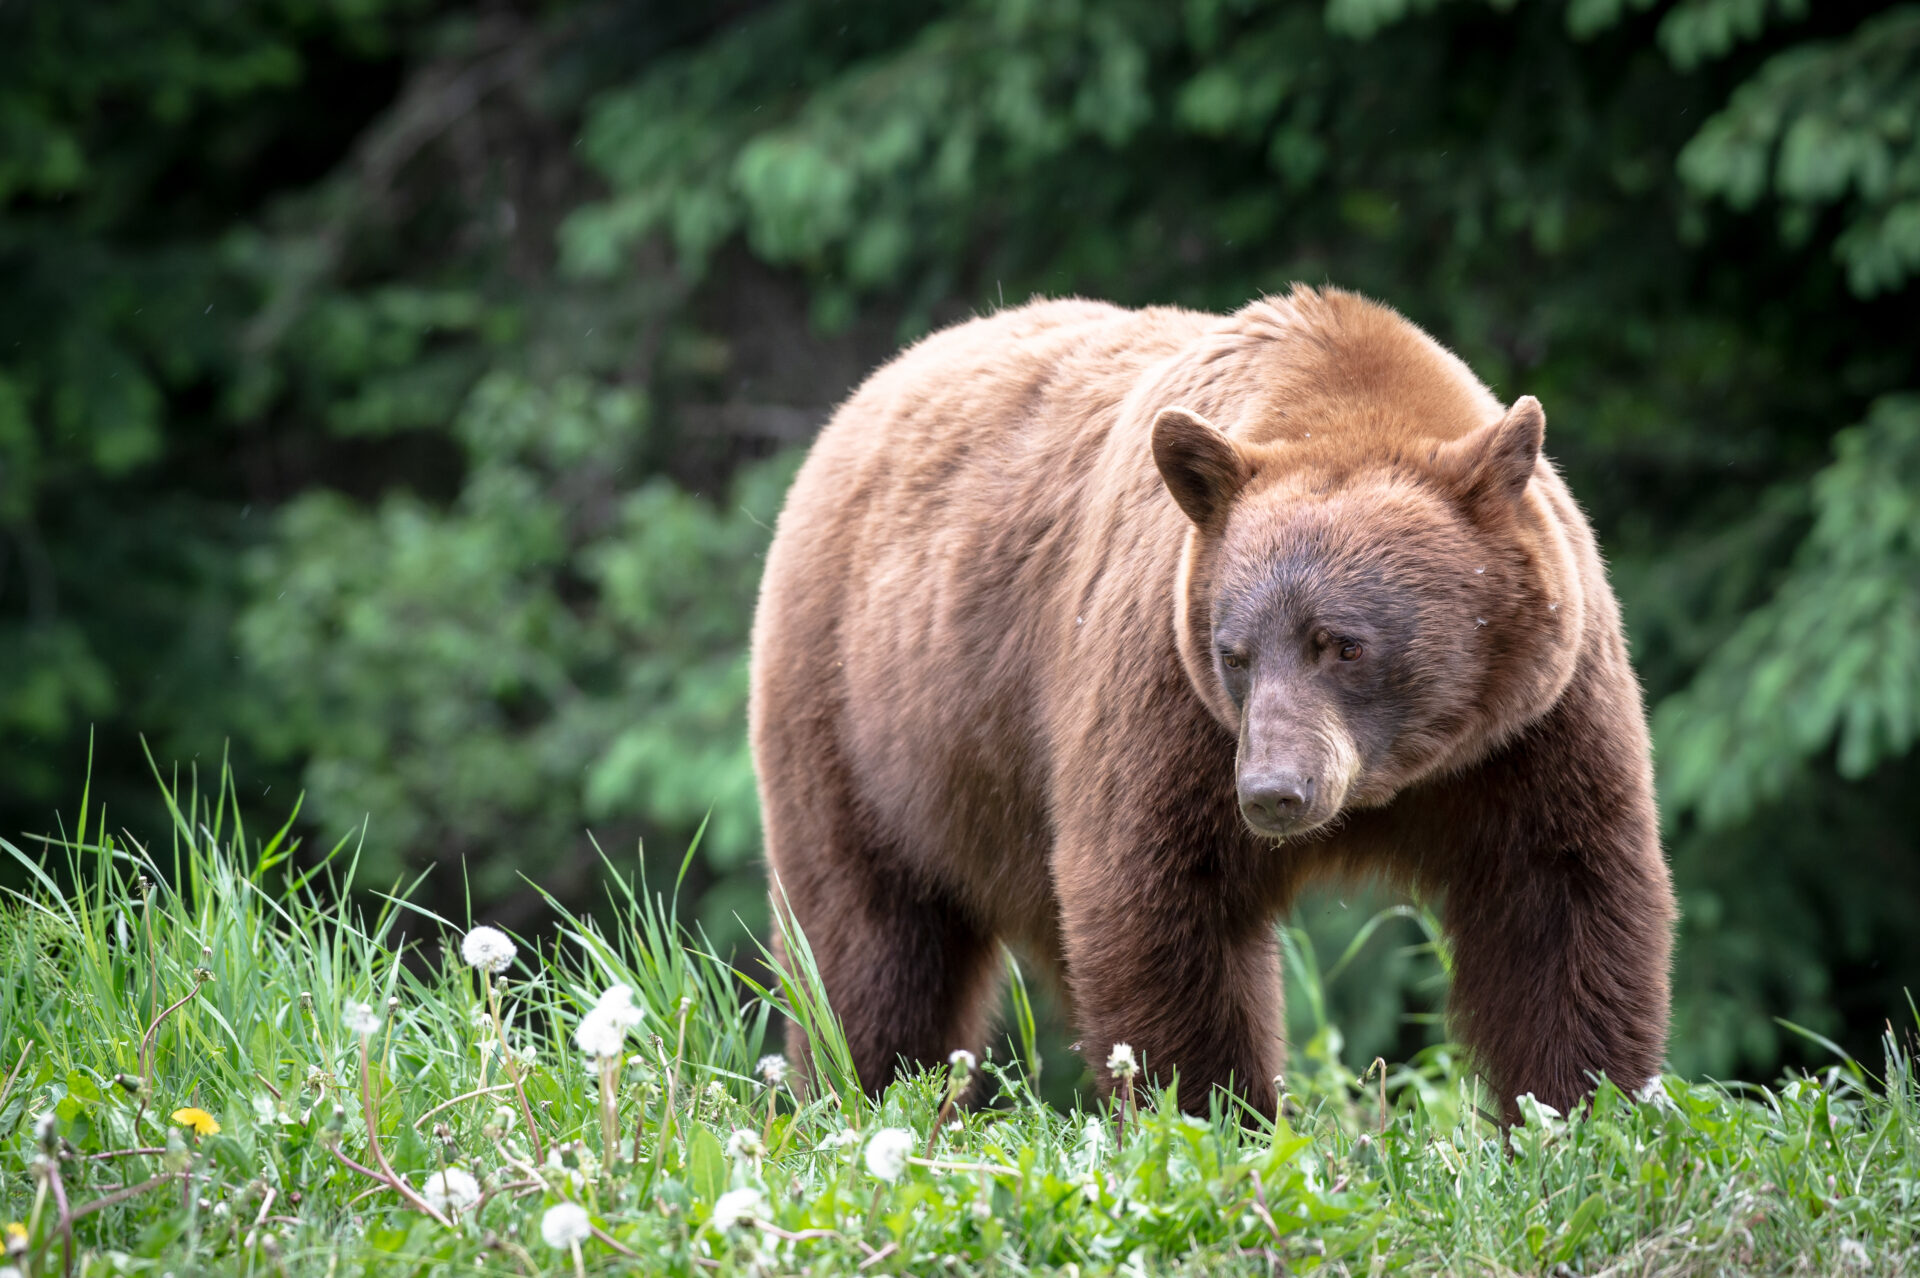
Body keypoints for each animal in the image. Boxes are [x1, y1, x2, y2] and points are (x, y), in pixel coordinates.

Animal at [748, 285, 1681, 1112]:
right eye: (1235, 653)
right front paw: (1219, 1113)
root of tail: (864, 397)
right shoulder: (1169, 697)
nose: (1275, 792)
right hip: (864, 724)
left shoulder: (1532, 725)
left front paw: (1579, 1112)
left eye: (1345, 643)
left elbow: (1562, 900)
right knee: (867, 944)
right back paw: (861, 1093)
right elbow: (1158, 900)